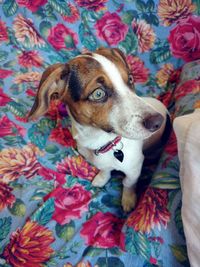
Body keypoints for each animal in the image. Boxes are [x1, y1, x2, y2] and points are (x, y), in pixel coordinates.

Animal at [28, 47, 167, 213]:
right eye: (98, 93)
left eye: (130, 79)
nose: (157, 122)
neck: (100, 143)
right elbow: (105, 170)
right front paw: (102, 178)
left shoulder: (135, 167)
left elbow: (128, 183)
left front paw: (128, 199)